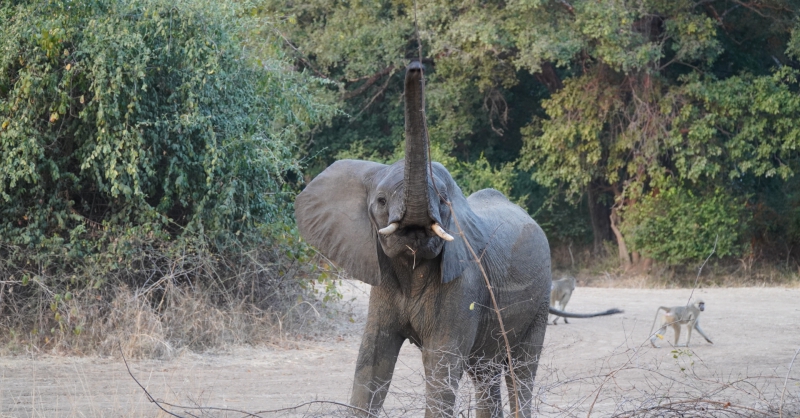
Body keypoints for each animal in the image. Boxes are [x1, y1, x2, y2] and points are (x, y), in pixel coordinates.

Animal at [296, 62, 624, 418]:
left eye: (443, 200)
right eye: (381, 201)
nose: (415, 66)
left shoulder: (463, 283)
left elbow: (441, 365)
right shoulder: (383, 284)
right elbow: (371, 361)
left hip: (538, 299)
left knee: (520, 371)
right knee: (485, 373)